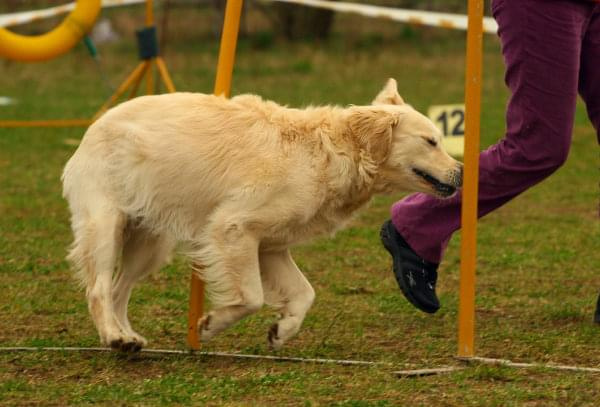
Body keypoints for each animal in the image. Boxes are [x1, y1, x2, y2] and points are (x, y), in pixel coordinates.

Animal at [62, 79, 464, 350]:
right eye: (431, 141)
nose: (462, 172)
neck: (333, 152)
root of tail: (94, 126)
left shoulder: (270, 246)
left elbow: (304, 293)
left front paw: (282, 330)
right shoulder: (233, 228)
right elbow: (252, 296)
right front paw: (210, 325)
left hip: (149, 244)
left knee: (119, 289)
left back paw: (126, 337)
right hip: (106, 227)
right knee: (99, 288)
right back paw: (114, 336)